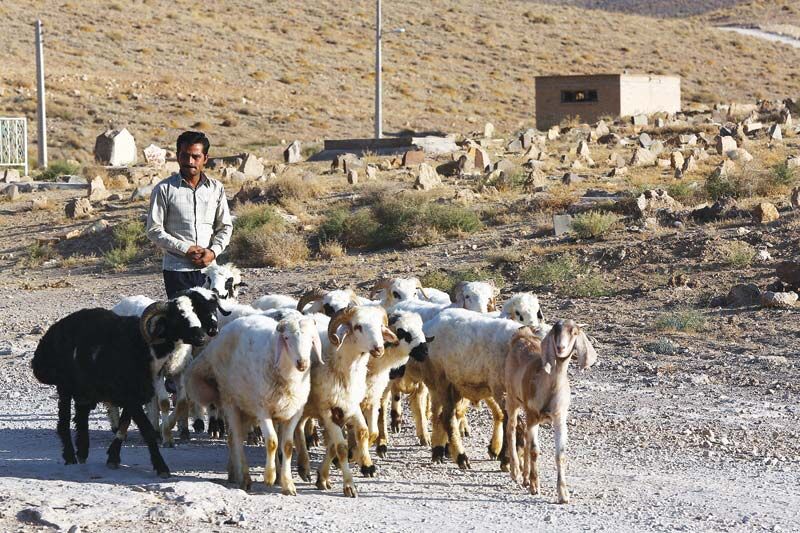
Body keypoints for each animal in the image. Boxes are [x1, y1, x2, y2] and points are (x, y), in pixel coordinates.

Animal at [187, 314, 322, 492]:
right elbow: (272, 442)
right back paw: (244, 478)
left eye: (311, 339)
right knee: (236, 438)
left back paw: (234, 474)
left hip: (247, 407)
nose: (302, 363)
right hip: (231, 400)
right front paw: (269, 477)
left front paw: (287, 484)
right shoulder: (263, 409)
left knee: (233, 438)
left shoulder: (293, 412)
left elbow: (287, 446)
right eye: (286, 338)